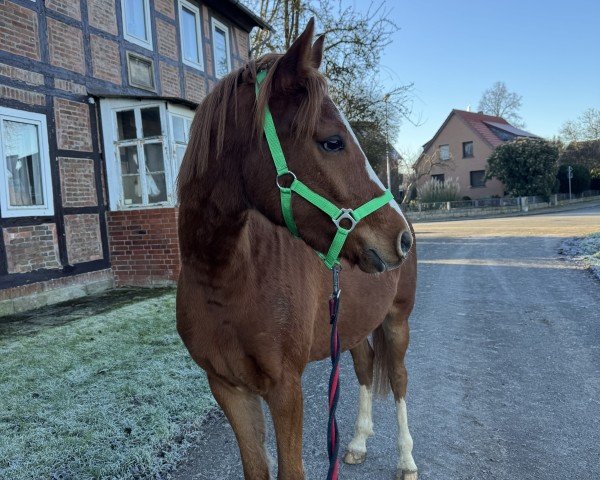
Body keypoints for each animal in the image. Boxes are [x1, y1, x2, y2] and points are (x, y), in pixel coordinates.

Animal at [176, 18, 414, 480]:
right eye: (333, 141)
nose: (401, 238)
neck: (225, 277)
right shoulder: (229, 388)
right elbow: (256, 468)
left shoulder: (285, 389)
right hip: (351, 324)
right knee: (363, 367)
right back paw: (356, 443)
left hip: (397, 321)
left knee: (398, 379)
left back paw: (407, 460)